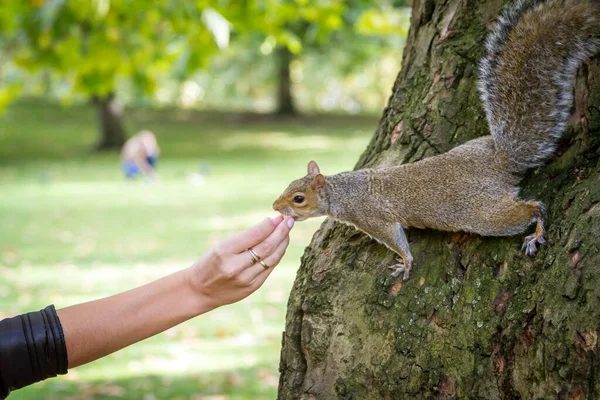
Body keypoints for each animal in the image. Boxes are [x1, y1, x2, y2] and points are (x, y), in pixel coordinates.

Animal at [274, 0, 600, 282]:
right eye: (289, 185)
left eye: (298, 198)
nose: (276, 207)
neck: (344, 192)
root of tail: (501, 160)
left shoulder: (374, 219)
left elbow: (396, 239)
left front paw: (405, 263)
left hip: (483, 213)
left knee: (532, 209)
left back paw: (536, 233)